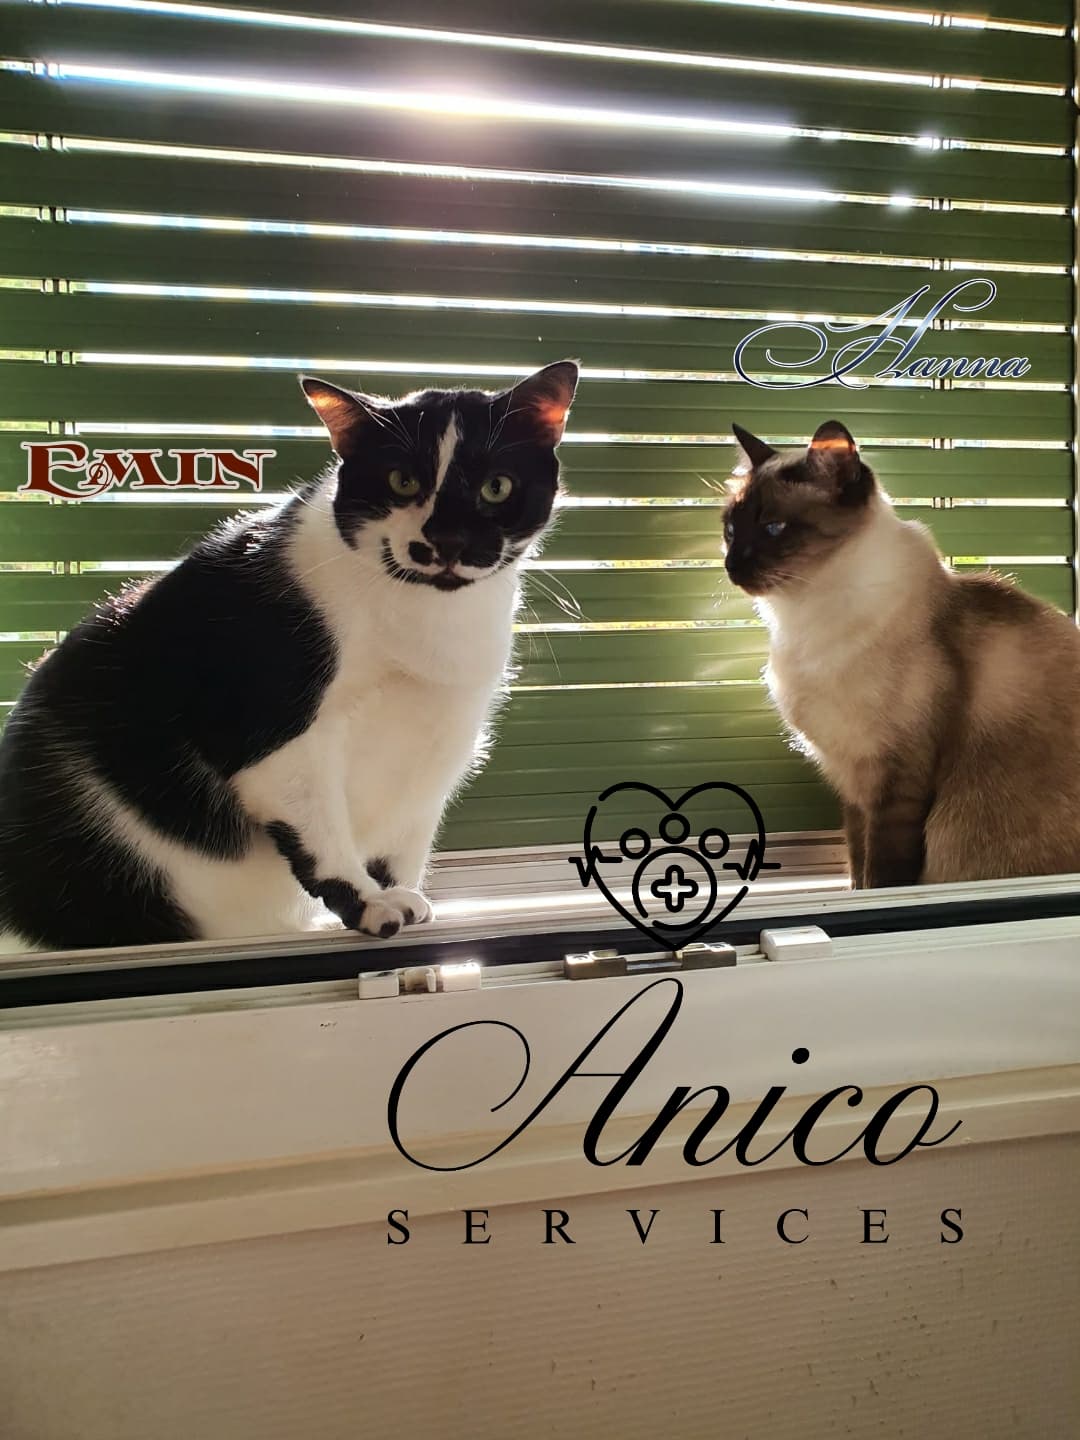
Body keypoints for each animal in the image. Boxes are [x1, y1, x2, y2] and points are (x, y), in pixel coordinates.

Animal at [0, 360, 578, 951]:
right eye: (402, 481)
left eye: (496, 486)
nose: (448, 541)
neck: (426, 621)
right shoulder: (272, 731)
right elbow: (321, 834)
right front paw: (370, 905)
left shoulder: (446, 733)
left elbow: (406, 837)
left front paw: (403, 897)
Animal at [723, 419, 1080, 888]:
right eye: (730, 530)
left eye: (773, 528)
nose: (730, 565)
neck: (801, 617)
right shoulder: (850, 781)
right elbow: (857, 863)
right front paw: (855, 895)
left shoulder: (897, 777)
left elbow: (884, 873)